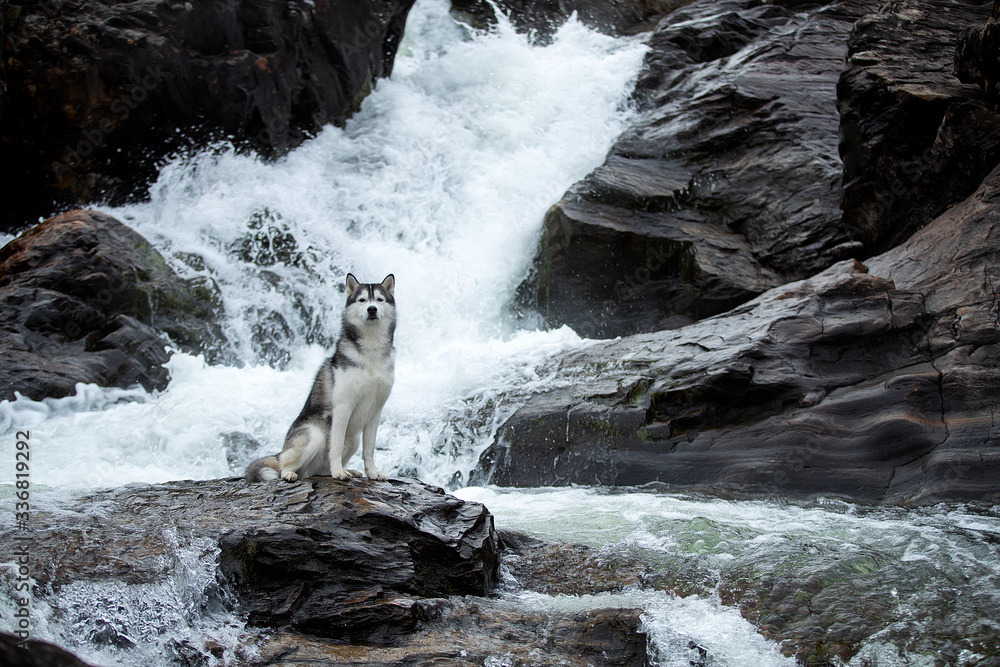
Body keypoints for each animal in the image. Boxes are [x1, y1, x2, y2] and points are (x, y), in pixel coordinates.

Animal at [244, 274, 396, 482]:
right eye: (362, 300)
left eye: (379, 300)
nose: (371, 309)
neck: (371, 352)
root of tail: (281, 451)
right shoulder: (343, 406)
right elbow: (336, 445)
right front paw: (338, 472)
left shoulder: (375, 412)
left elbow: (369, 449)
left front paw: (372, 473)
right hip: (315, 437)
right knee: (284, 466)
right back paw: (291, 473)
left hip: (353, 439)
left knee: (320, 470)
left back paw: (350, 470)